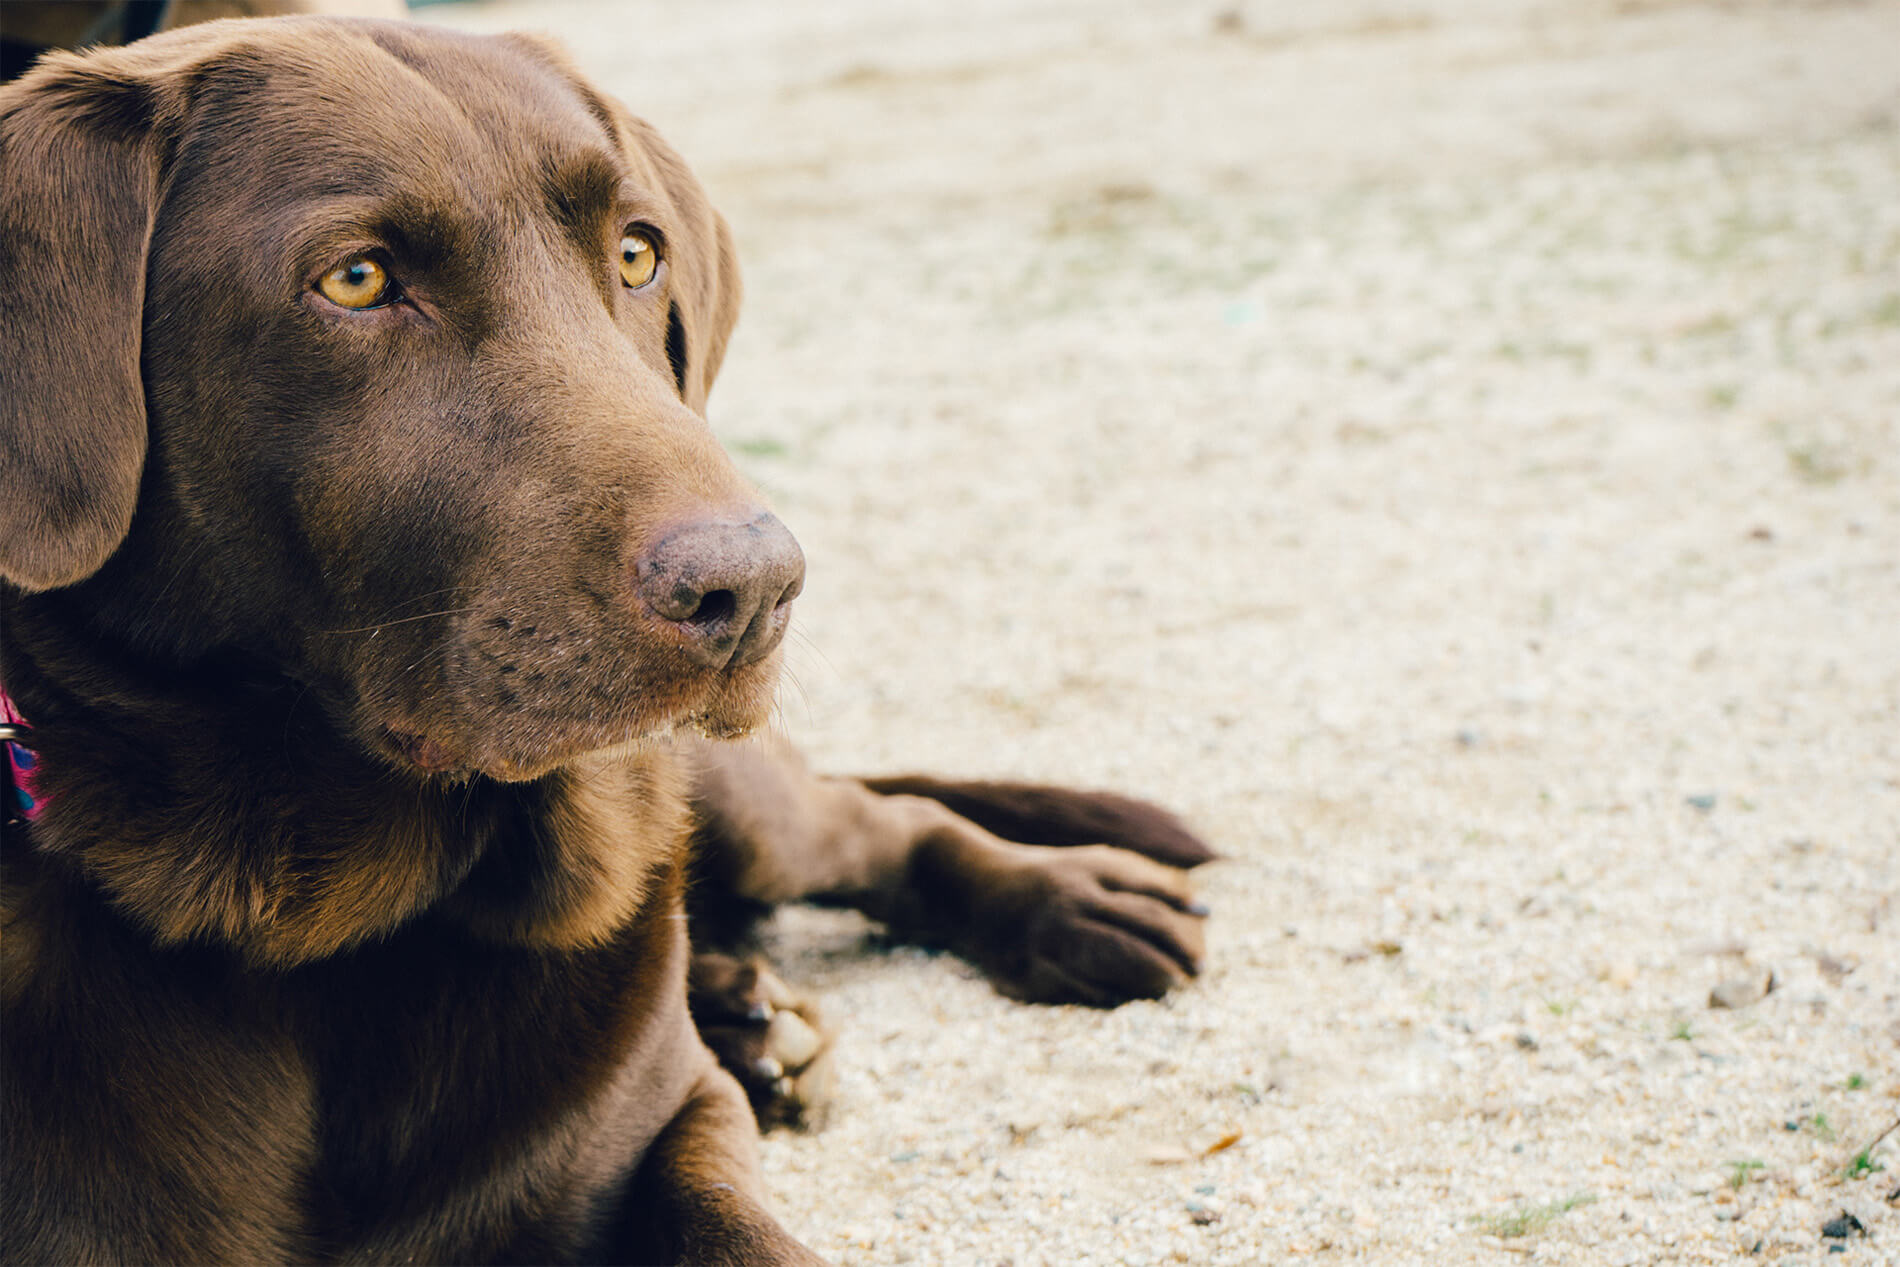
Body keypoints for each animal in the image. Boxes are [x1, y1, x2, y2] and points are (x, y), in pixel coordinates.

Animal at [0, 14, 1208, 1261]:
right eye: (357, 278)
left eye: (636, 255)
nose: (753, 587)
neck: (337, 932)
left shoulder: (670, 1118)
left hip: (737, 801)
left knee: (880, 822)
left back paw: (1067, 904)